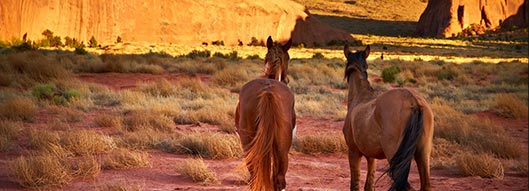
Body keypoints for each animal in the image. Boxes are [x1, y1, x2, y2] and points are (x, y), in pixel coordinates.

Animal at [342, 45, 434, 191]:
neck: (360, 96)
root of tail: (413, 100)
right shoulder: (371, 157)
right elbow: (368, 185)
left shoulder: (353, 152)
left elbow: (355, 185)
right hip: (423, 154)